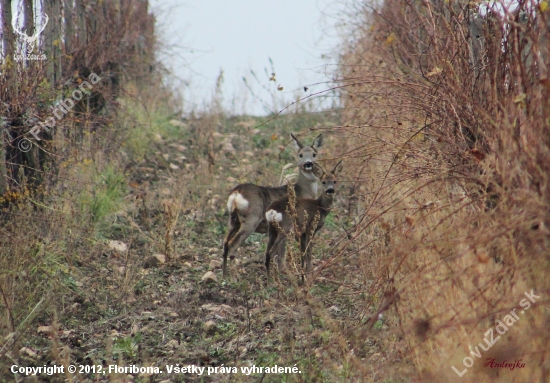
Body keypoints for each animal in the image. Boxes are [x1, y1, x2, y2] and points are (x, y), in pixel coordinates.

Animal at [224, 134, 326, 278]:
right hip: (251, 219)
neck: (301, 191)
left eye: (314, 154)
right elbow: (285, 254)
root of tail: (236, 193)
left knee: (225, 244)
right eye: (300, 154)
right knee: (233, 244)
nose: (308, 163)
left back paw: (224, 276)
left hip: (233, 221)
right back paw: (235, 277)